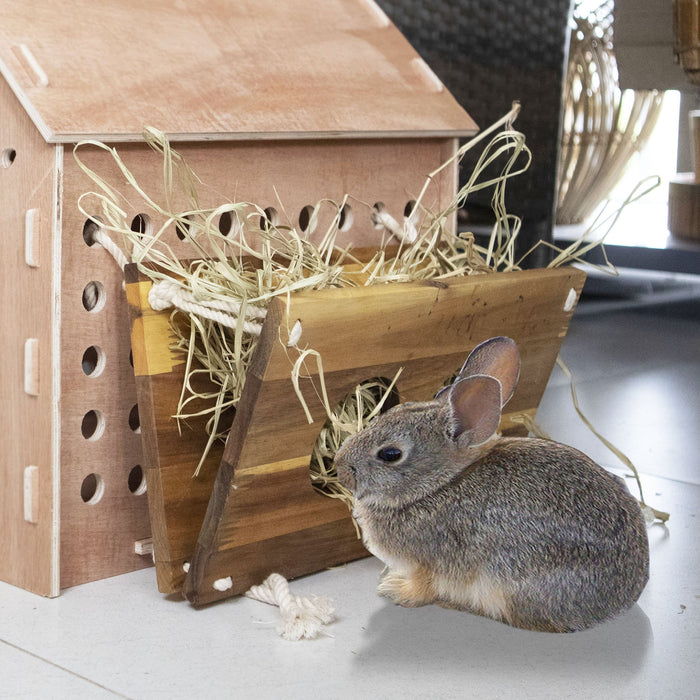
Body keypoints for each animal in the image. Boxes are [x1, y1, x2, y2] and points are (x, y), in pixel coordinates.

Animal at [334, 336, 652, 632]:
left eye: (390, 454)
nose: (339, 467)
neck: (438, 486)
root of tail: (624, 597)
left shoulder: (428, 564)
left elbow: (423, 588)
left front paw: (394, 589)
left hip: (511, 580)